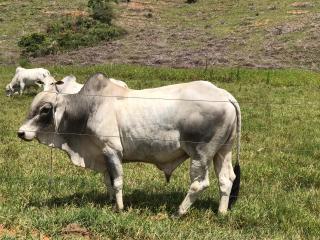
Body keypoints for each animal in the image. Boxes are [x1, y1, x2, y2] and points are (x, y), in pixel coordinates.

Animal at [17, 73, 241, 216]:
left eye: (45, 109)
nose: (21, 132)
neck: (88, 108)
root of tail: (225, 95)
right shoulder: (102, 154)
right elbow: (107, 181)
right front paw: (109, 201)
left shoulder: (112, 151)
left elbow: (117, 182)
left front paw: (120, 208)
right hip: (223, 151)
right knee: (226, 179)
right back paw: (221, 212)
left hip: (200, 154)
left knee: (199, 183)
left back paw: (179, 211)